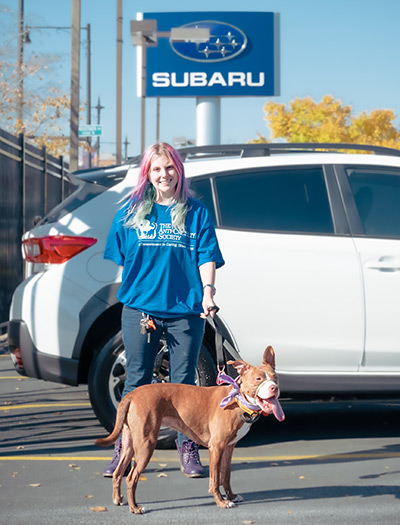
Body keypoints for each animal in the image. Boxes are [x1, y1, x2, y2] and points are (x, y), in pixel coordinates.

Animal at [95, 344, 286, 512]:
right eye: (258, 379)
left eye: (275, 377)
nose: (274, 388)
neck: (239, 400)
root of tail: (132, 395)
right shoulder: (216, 447)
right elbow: (215, 479)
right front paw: (221, 502)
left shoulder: (229, 447)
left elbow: (226, 475)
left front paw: (231, 496)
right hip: (145, 444)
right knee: (131, 477)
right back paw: (135, 508)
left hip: (129, 443)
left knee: (118, 472)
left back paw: (118, 499)